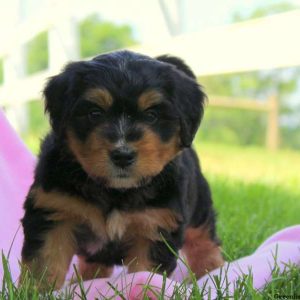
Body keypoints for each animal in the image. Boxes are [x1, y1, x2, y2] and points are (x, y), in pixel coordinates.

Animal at [21, 50, 223, 290]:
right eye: (95, 113)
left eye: (152, 115)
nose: (122, 155)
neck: (115, 191)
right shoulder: (52, 212)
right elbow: (44, 263)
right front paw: (35, 291)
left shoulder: (156, 226)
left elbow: (146, 274)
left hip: (200, 206)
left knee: (204, 241)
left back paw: (213, 274)